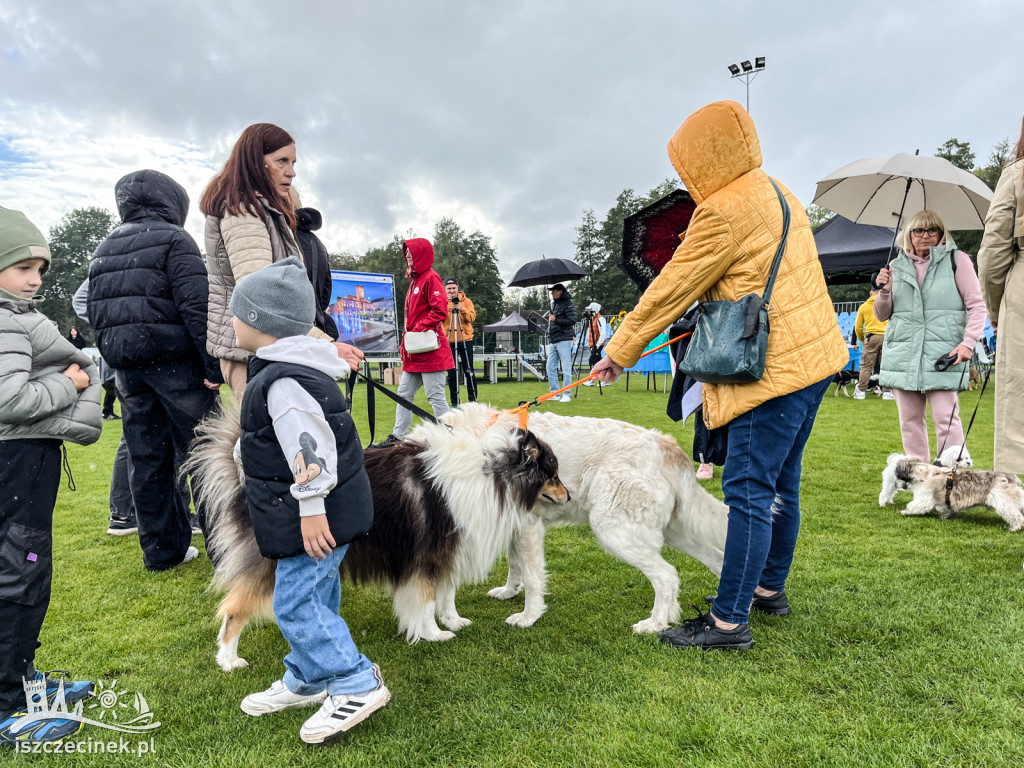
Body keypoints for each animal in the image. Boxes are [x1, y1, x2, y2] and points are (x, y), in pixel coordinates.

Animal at [185, 405, 569, 671]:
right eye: (553, 473)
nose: (568, 496)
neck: (493, 473)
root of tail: (247, 482)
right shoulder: (426, 557)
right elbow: (425, 601)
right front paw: (433, 634)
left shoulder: (448, 550)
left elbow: (446, 595)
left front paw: (453, 621)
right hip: (271, 564)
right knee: (233, 611)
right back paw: (228, 660)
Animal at [440, 405, 729, 634]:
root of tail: (666, 444)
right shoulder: (515, 525)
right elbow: (515, 565)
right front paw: (509, 591)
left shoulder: (529, 527)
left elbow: (532, 577)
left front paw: (528, 617)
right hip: (675, 531)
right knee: (717, 558)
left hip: (615, 532)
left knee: (667, 575)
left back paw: (654, 624)